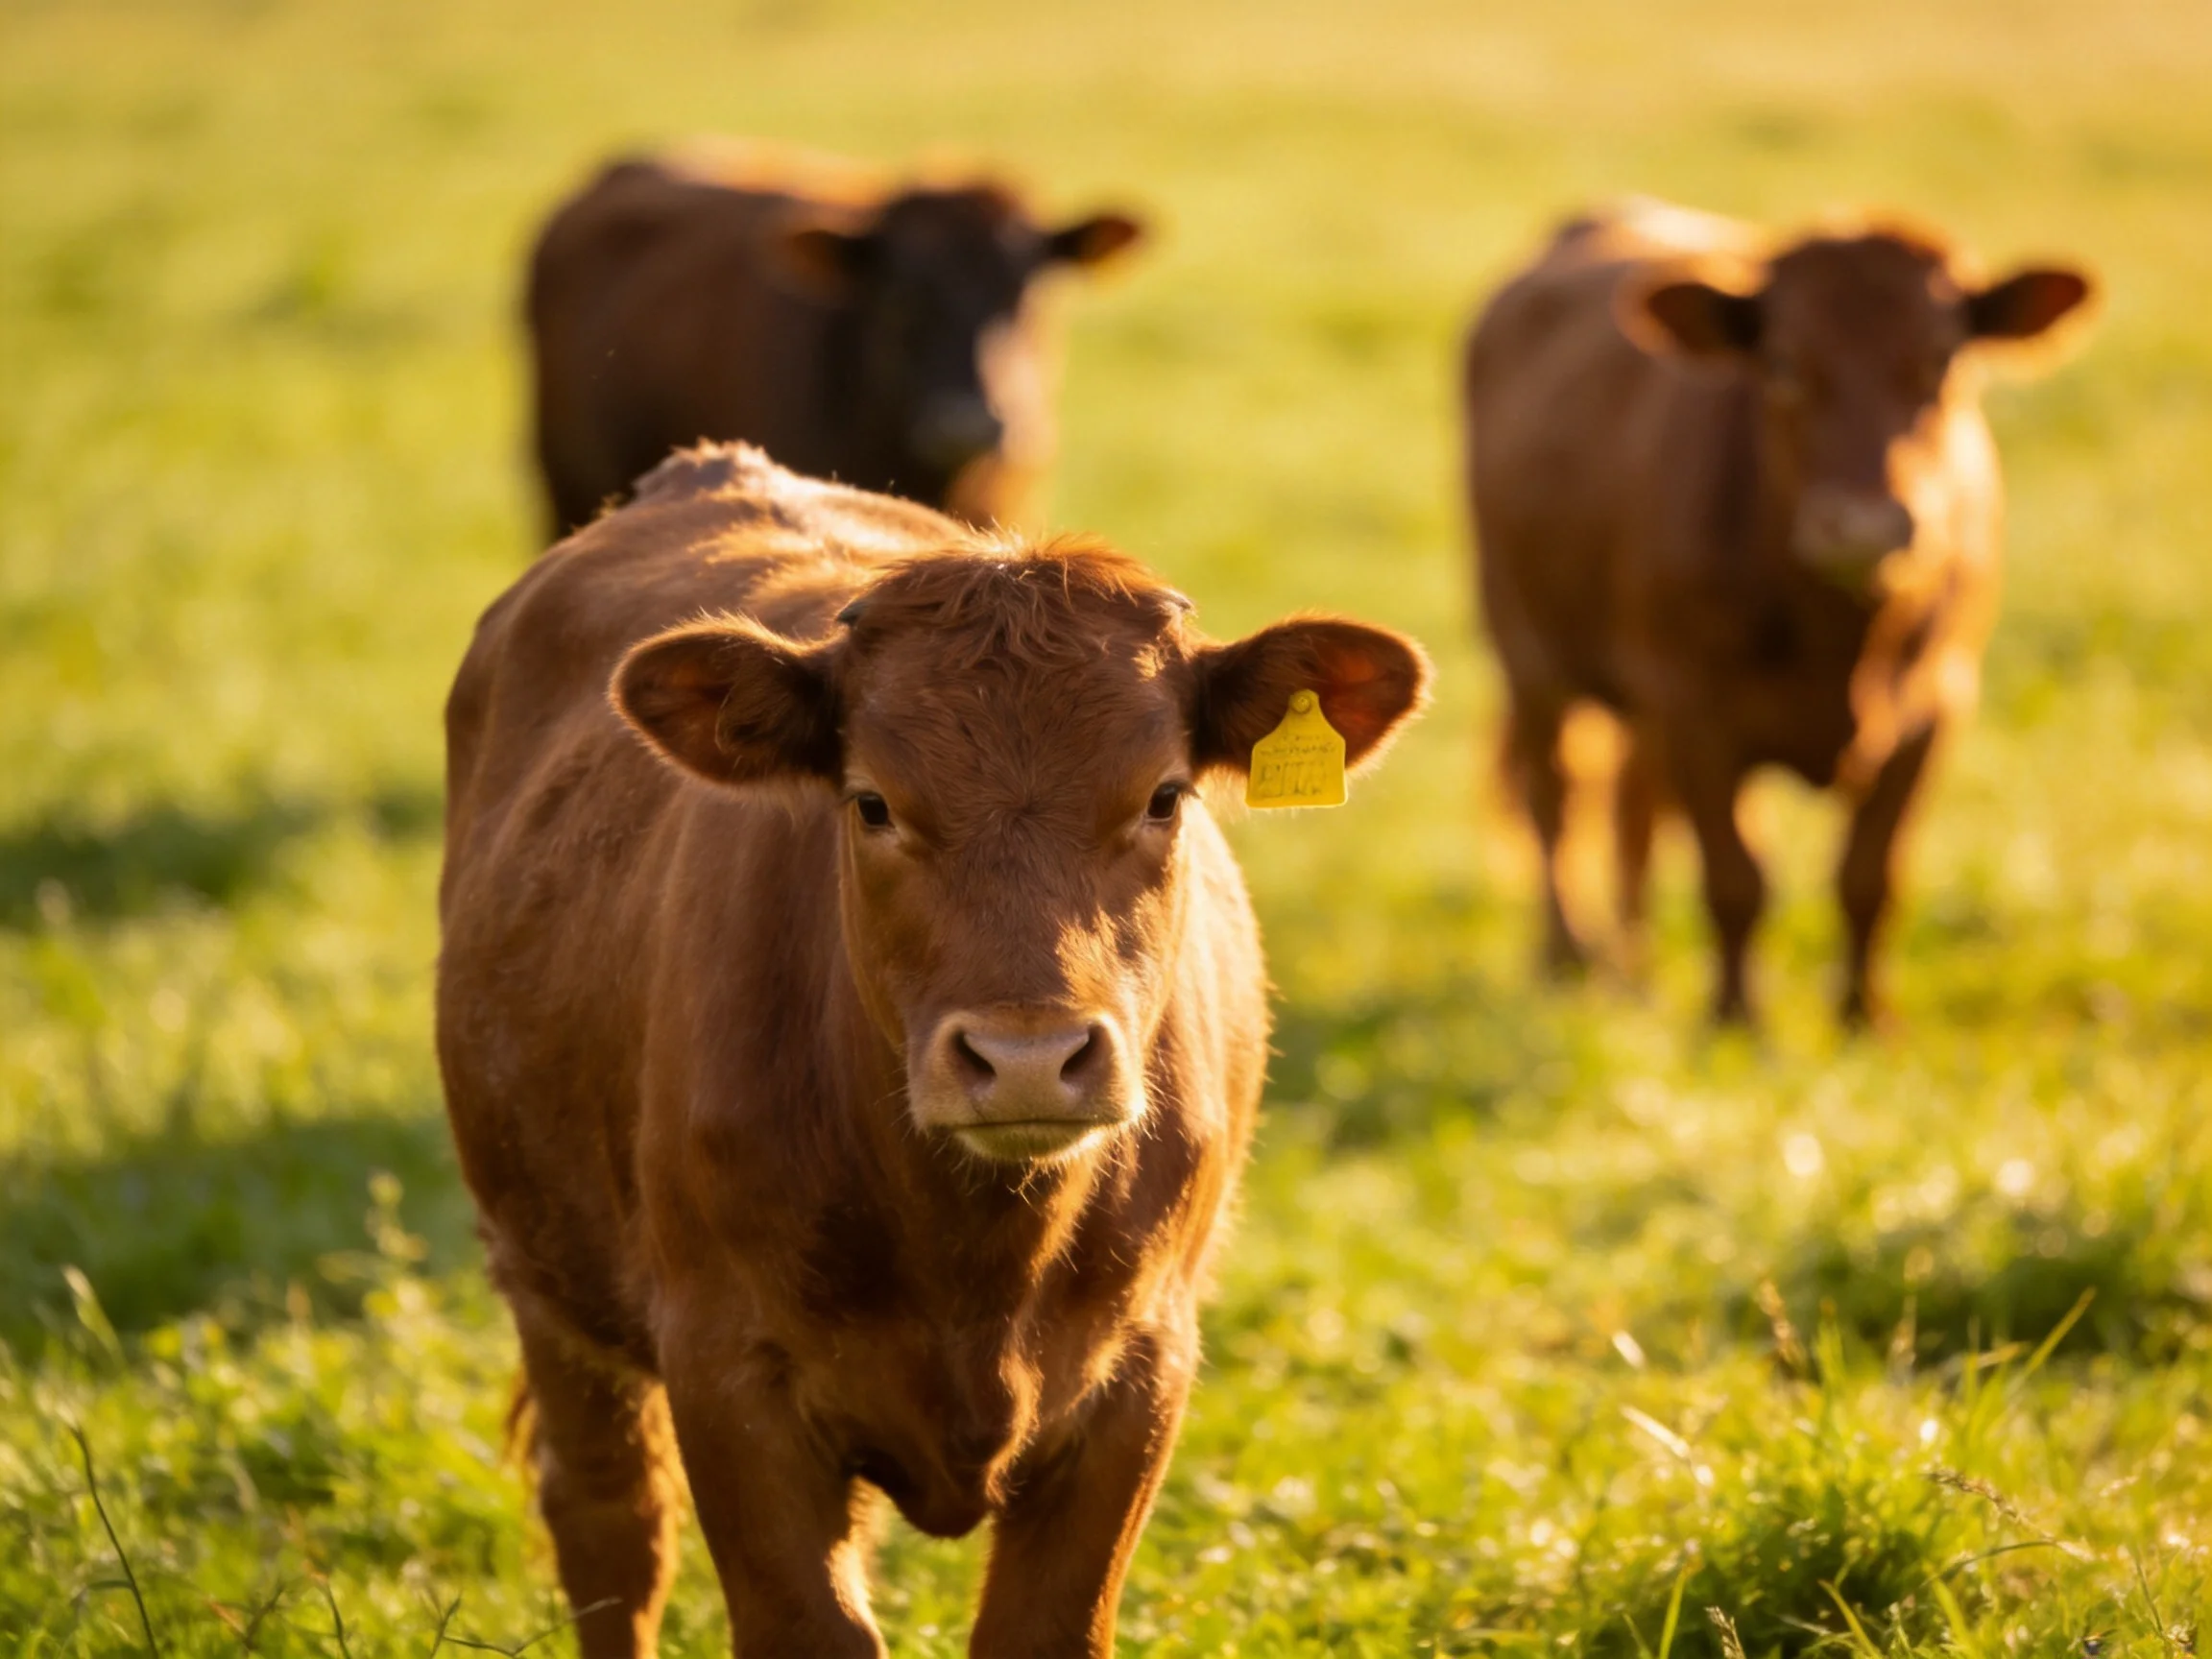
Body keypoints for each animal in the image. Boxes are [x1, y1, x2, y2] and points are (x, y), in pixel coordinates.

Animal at [435, 442, 1428, 1657]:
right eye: (871, 803)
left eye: (1165, 795)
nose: (1027, 1056)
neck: (978, 1262)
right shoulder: (727, 1373)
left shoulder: (1144, 1368)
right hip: (542, 1274)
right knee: (611, 1528)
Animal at [1463, 200, 2091, 1026]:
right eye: (1786, 364)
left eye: (1941, 359)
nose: (1863, 526)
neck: (1841, 639)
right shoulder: (1695, 709)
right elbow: (1736, 879)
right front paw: (1736, 1022)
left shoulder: (1935, 706)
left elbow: (1869, 876)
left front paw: (1863, 1018)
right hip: (1527, 649)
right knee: (1556, 798)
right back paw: (1567, 958)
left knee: (1634, 807)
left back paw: (1635, 971)